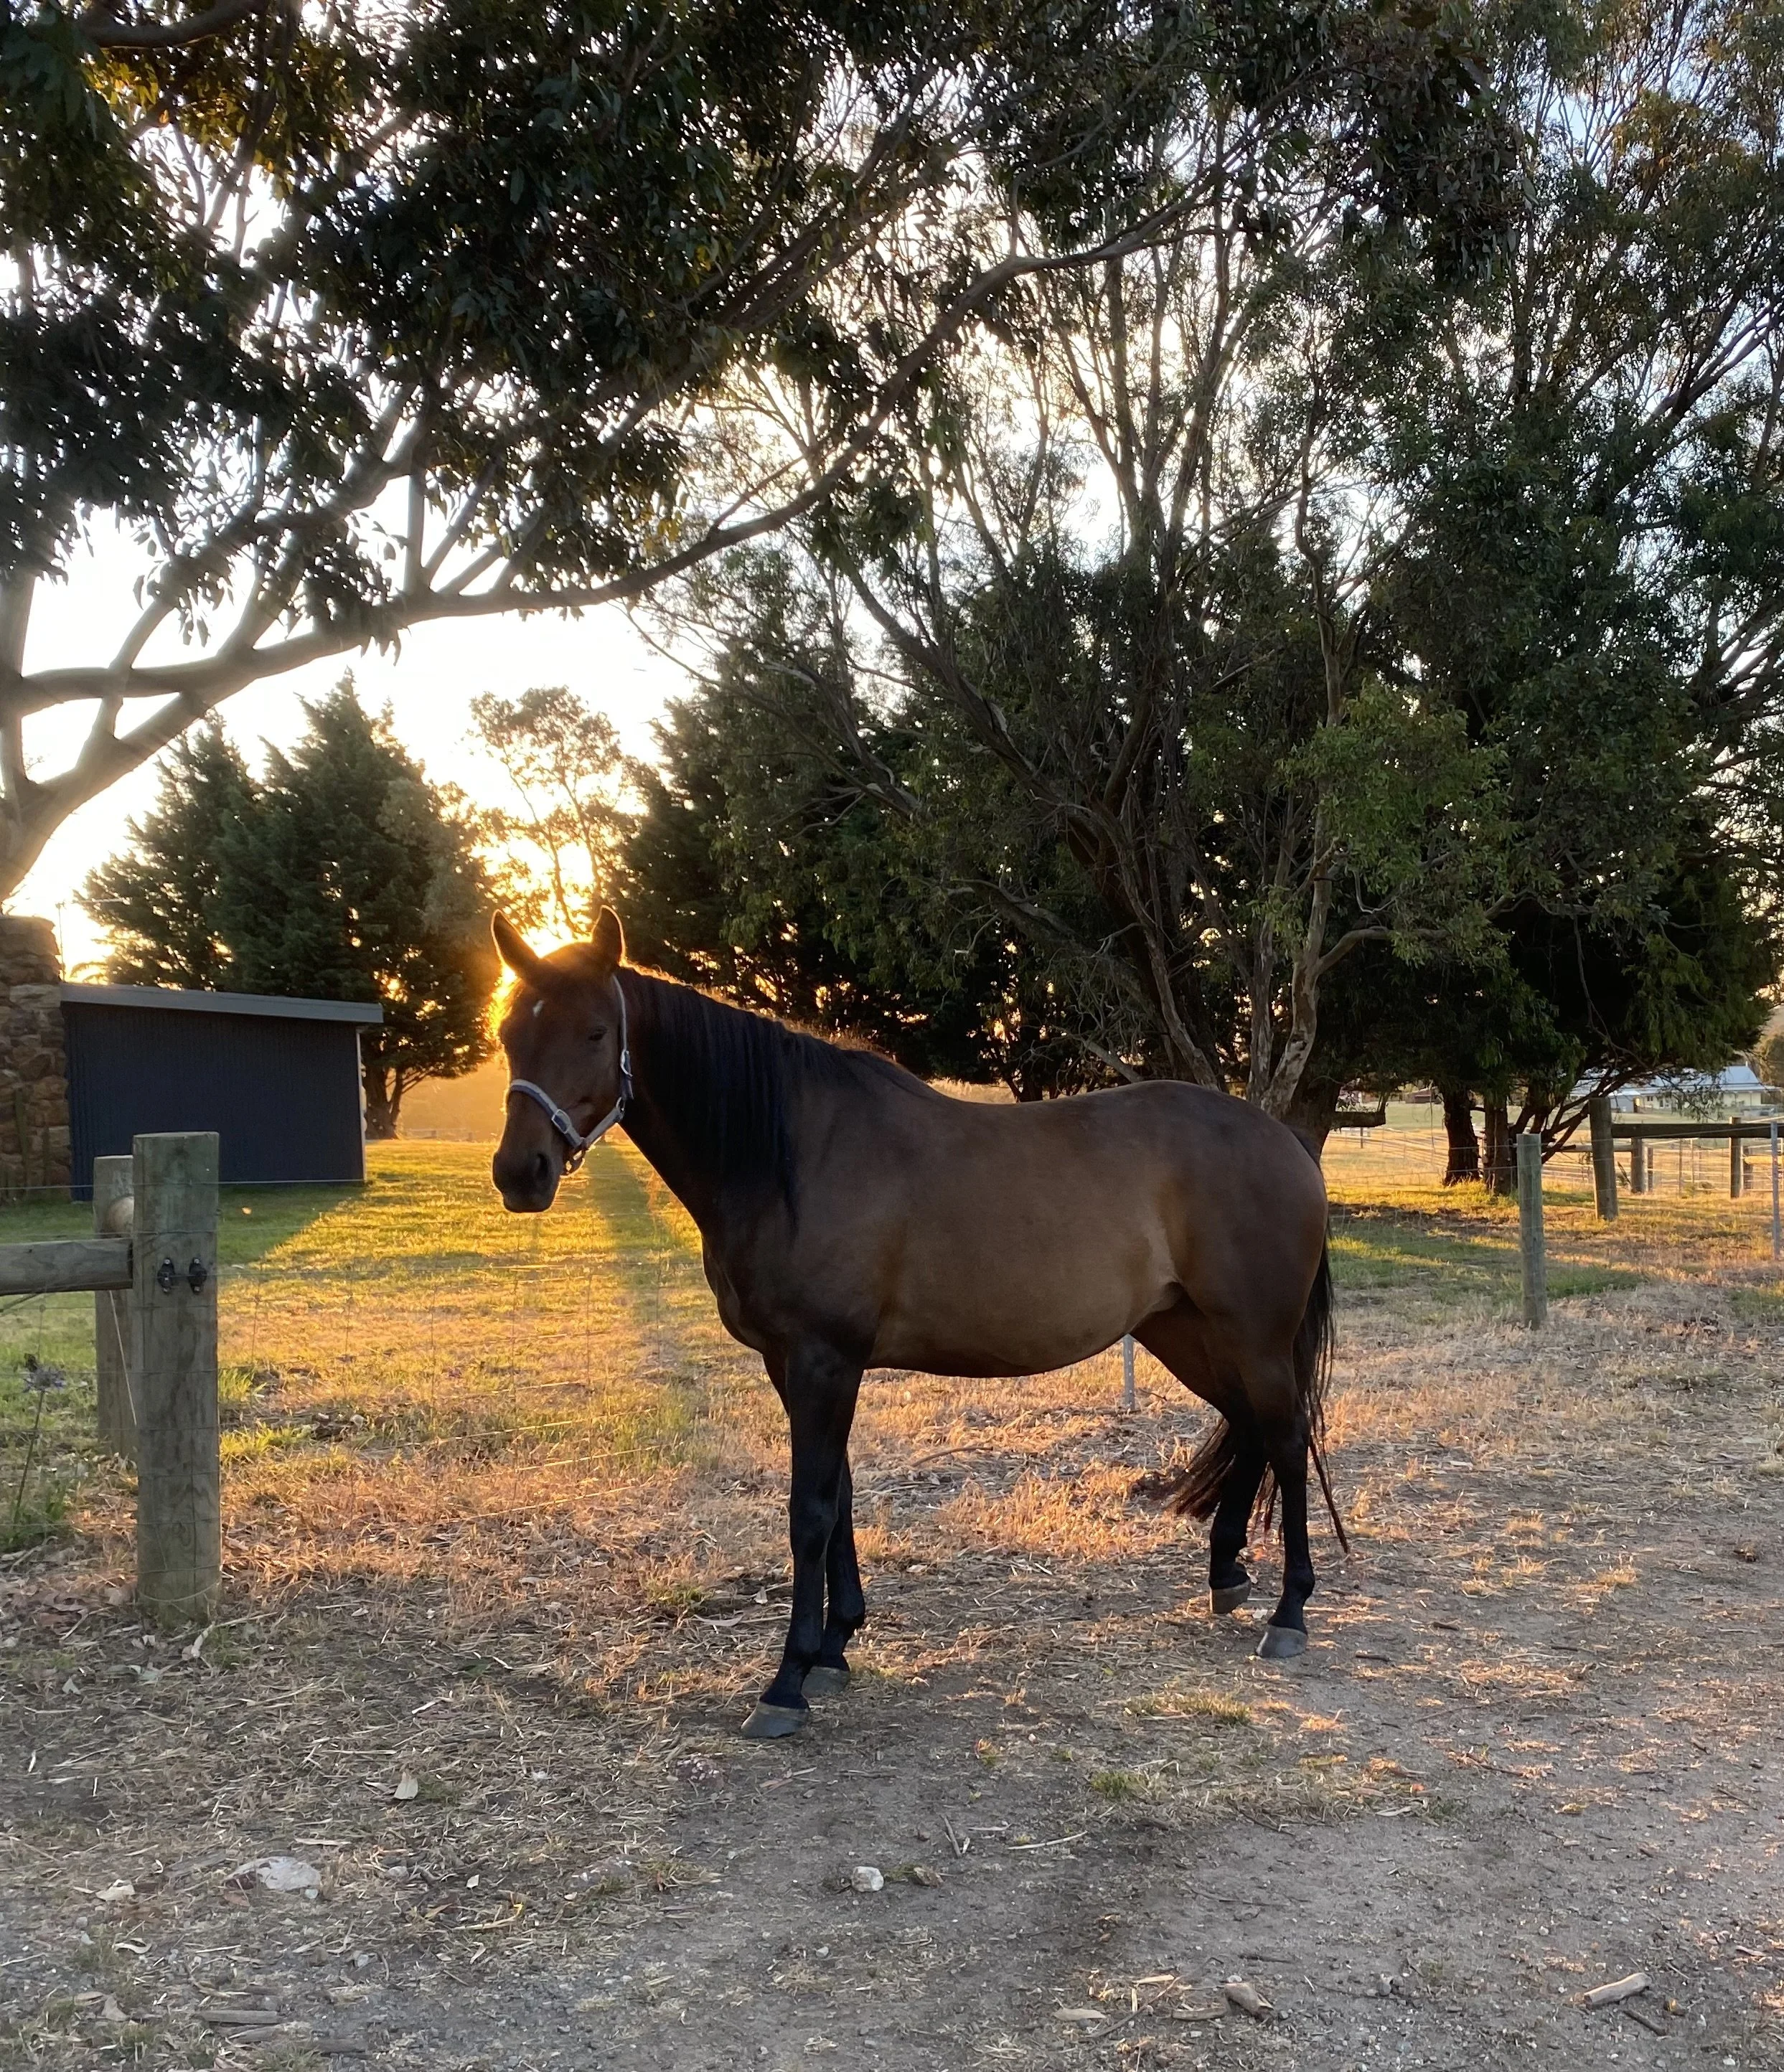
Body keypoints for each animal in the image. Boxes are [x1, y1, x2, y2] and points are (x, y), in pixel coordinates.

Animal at [490, 908, 1339, 1739]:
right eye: (507, 1032)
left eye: (595, 1032)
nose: (519, 1173)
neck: (791, 1155)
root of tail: (1283, 1140)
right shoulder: (793, 1364)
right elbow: (838, 1496)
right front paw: (835, 1645)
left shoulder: (825, 1360)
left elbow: (809, 1511)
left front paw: (787, 1681)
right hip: (1184, 1330)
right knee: (1248, 1426)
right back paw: (1226, 1573)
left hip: (1252, 1334)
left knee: (1287, 1437)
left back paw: (1289, 1611)